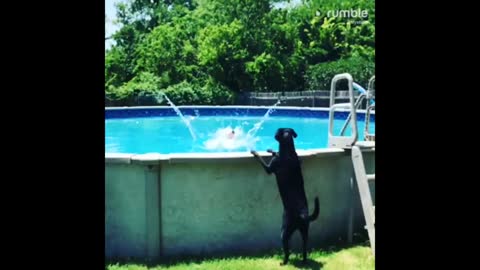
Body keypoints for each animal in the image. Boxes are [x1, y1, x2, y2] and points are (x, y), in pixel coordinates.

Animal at [251, 127, 318, 264]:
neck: (288, 152)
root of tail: (302, 215)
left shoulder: (269, 168)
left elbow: (261, 159)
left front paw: (255, 152)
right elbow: (276, 153)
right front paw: (271, 150)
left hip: (284, 230)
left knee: (287, 249)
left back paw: (284, 261)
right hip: (305, 230)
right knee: (304, 247)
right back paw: (304, 261)